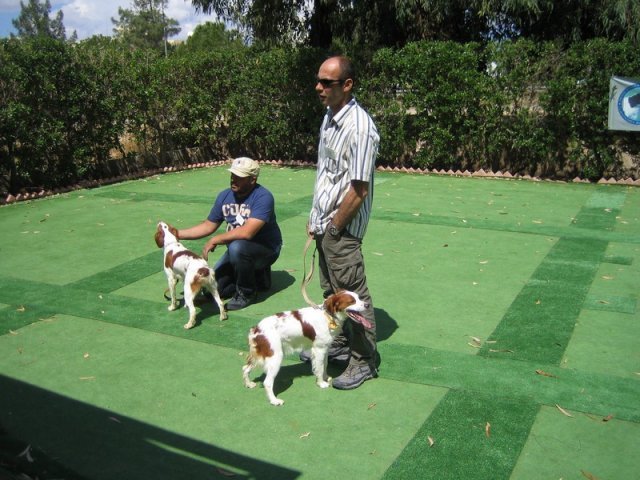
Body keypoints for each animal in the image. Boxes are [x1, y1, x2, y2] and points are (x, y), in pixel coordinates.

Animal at [242, 290, 372, 406]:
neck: (327, 316)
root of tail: (256, 329)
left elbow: (324, 365)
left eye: (359, 298)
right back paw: (274, 401)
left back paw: (249, 384)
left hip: (261, 355)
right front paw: (321, 383)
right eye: (352, 301)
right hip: (275, 357)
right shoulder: (319, 349)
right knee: (267, 382)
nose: (367, 304)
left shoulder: (325, 348)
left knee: (245, 368)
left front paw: (325, 377)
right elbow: (319, 368)